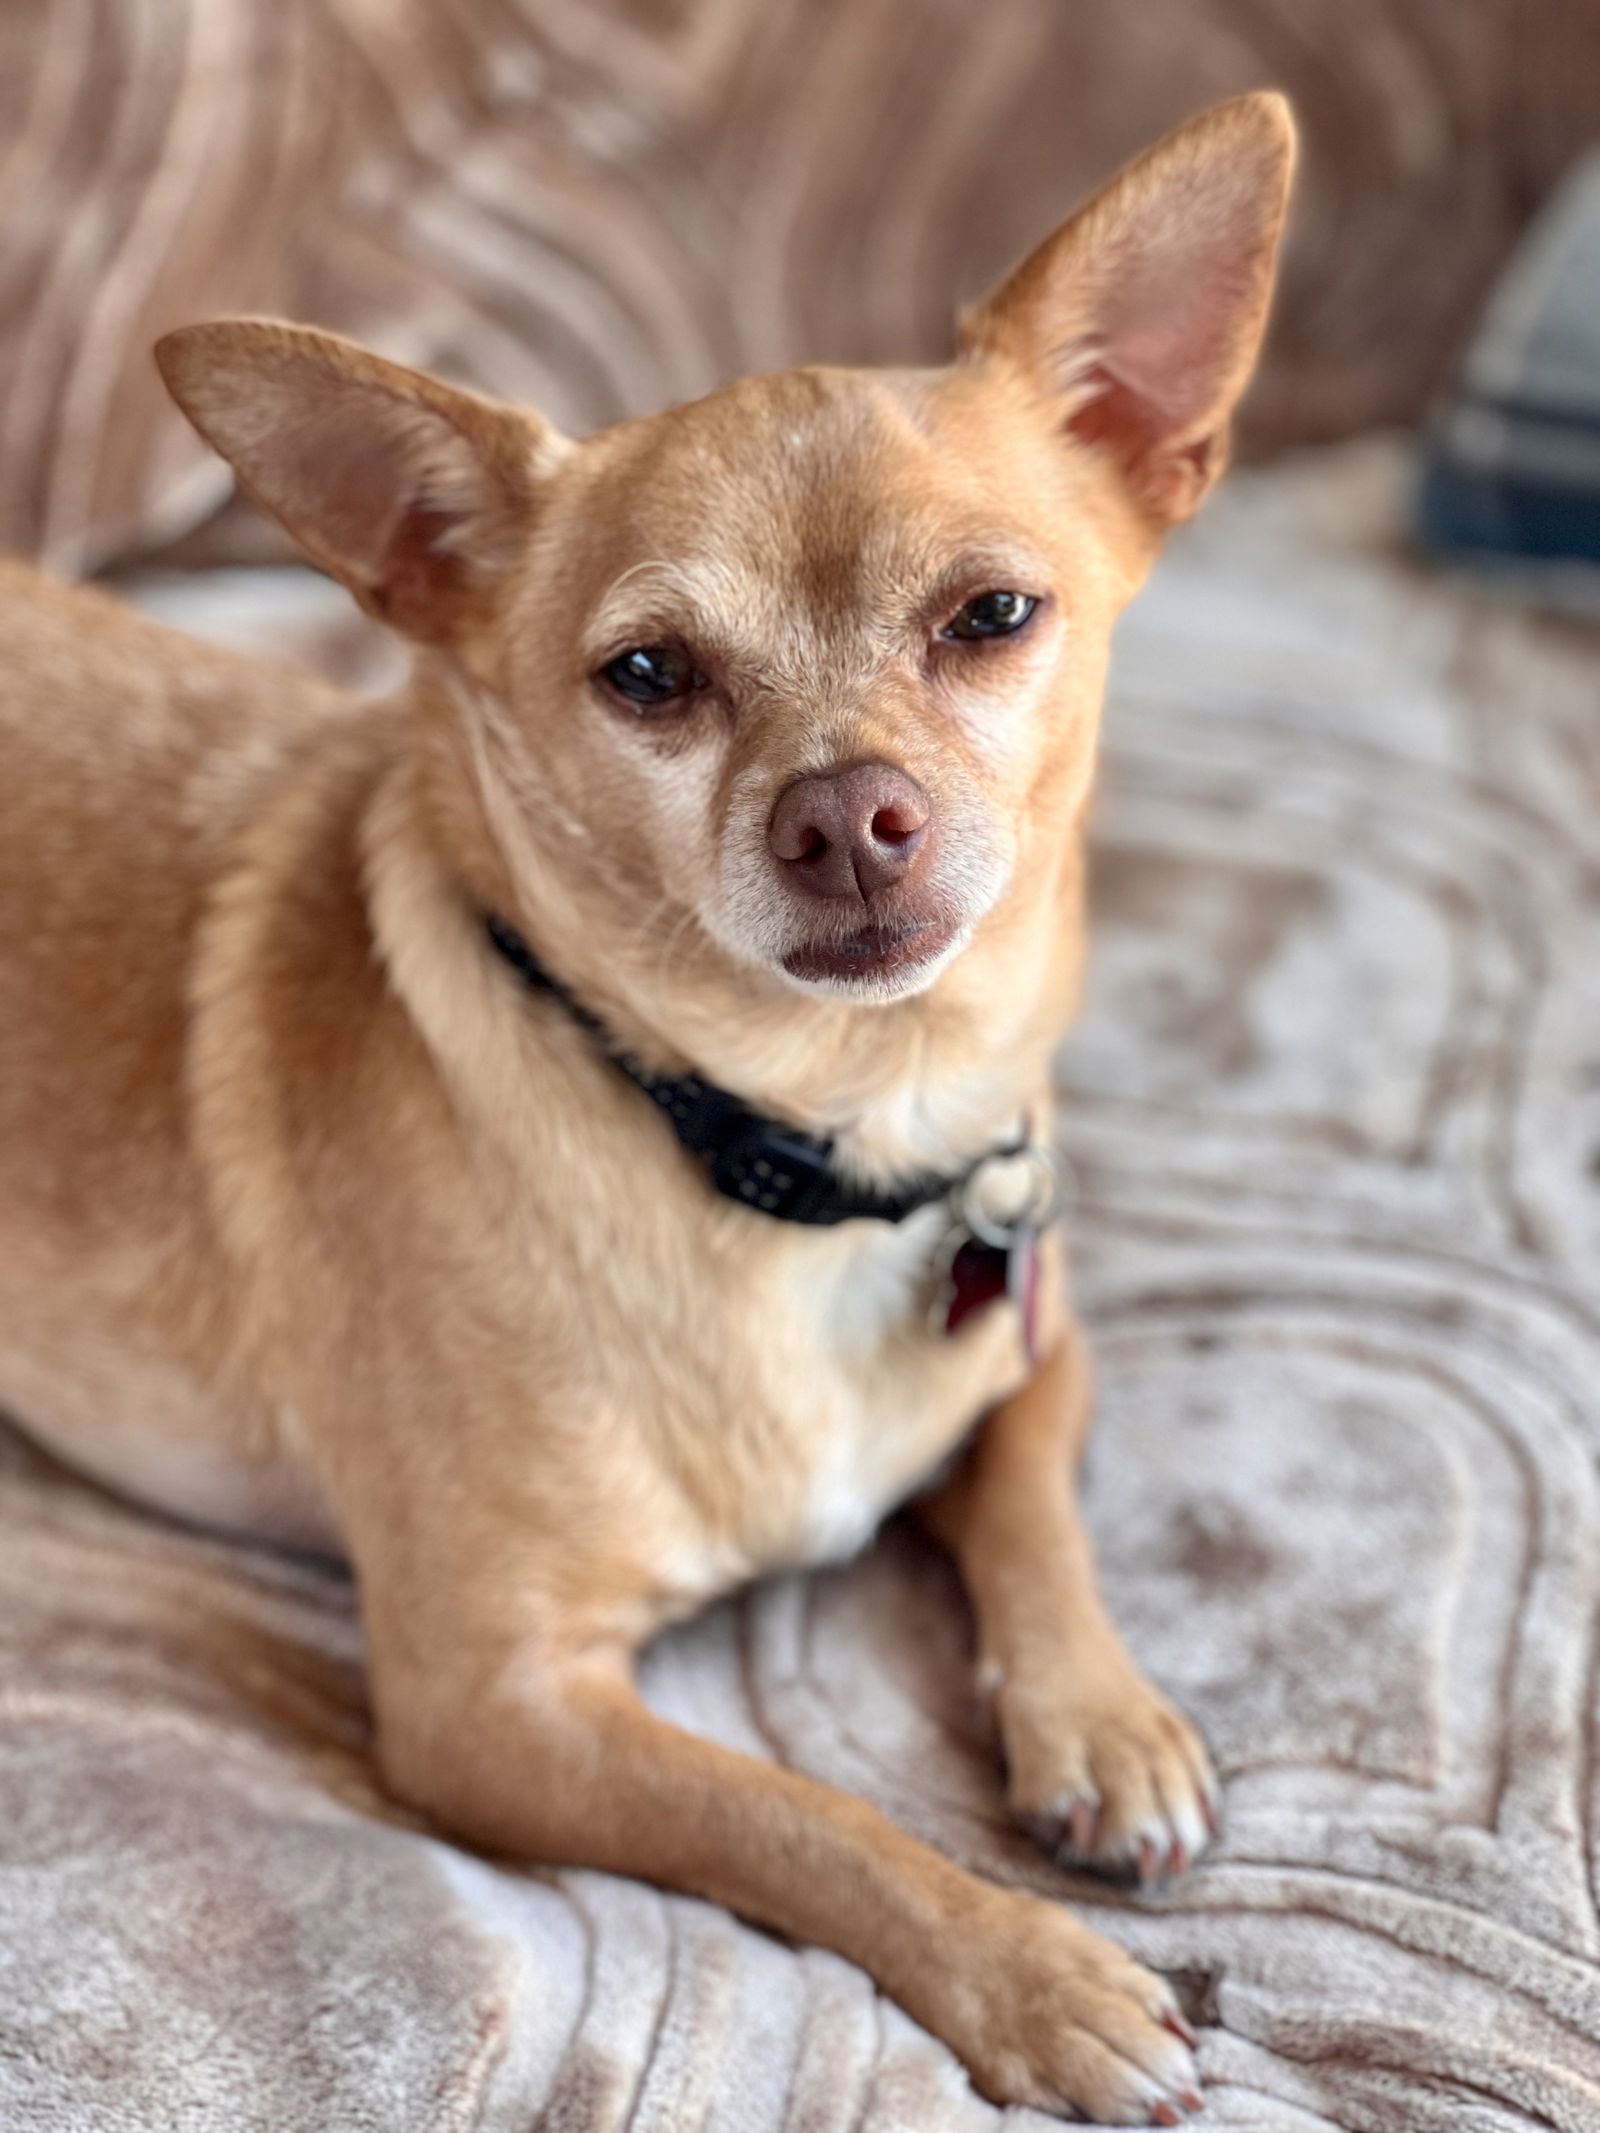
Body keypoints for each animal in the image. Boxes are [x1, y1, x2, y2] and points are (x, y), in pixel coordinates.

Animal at [0, 100, 1297, 2133]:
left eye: (995, 615)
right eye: (650, 676)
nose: (845, 813)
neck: (806, 1143)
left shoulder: (1032, 1318)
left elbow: (1025, 1498)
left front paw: (1103, 1719)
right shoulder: (492, 1708)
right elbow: (806, 1819)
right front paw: (1037, 1971)